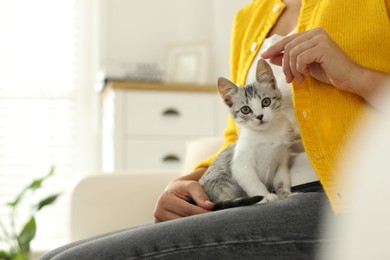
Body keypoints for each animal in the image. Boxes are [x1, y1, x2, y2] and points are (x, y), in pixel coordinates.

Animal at [200, 59, 294, 211]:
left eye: (266, 101)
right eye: (245, 110)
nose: (259, 116)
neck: (267, 135)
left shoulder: (282, 160)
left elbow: (281, 180)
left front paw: (286, 194)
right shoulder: (241, 165)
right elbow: (253, 182)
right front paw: (265, 196)